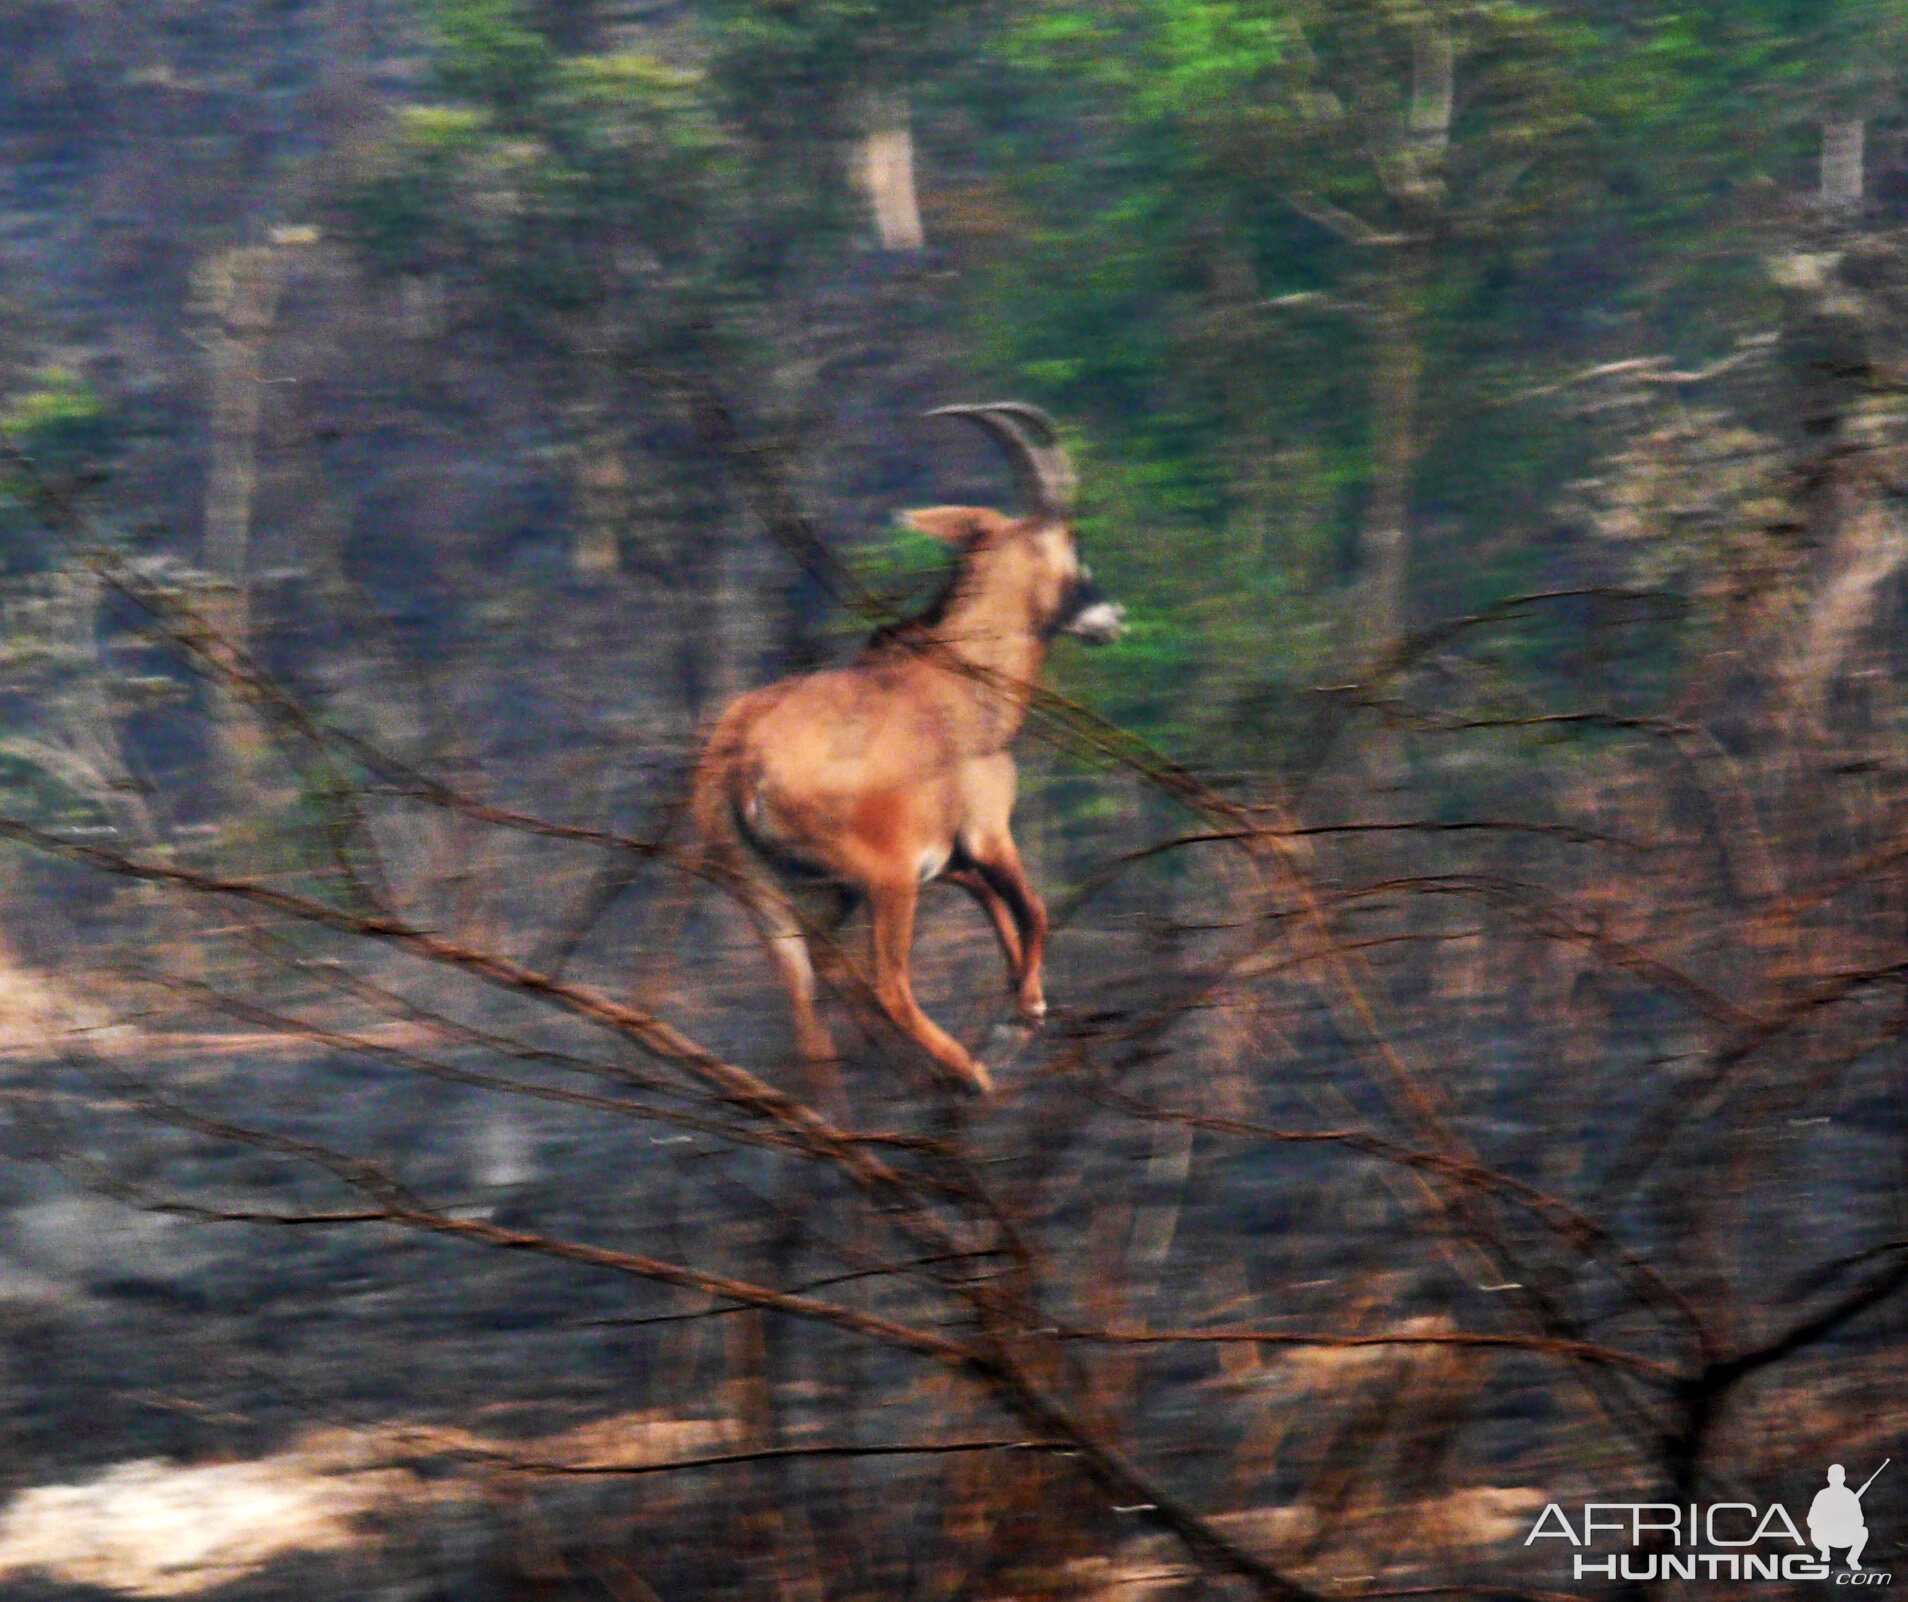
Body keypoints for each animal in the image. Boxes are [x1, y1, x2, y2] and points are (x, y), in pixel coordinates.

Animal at [694, 406, 1121, 1098]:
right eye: (1075, 546)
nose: (1111, 618)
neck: (962, 672)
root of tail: (740, 759)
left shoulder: (947, 860)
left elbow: (1003, 915)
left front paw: (1024, 1007)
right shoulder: (987, 834)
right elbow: (1031, 913)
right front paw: (1016, 1022)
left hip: (774, 891)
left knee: (807, 999)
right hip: (881, 883)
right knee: (882, 982)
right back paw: (965, 1071)